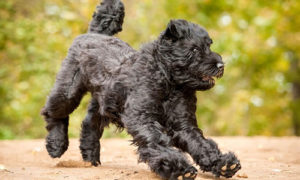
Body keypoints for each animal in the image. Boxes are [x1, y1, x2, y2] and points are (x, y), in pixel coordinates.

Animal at [41, 0, 240, 179]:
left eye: (209, 45)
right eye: (195, 49)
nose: (221, 65)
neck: (168, 80)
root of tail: (93, 34)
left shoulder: (182, 123)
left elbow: (200, 143)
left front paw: (222, 163)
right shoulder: (142, 118)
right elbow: (157, 141)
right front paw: (177, 167)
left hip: (104, 102)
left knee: (89, 123)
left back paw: (91, 157)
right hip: (68, 92)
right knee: (52, 113)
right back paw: (56, 145)